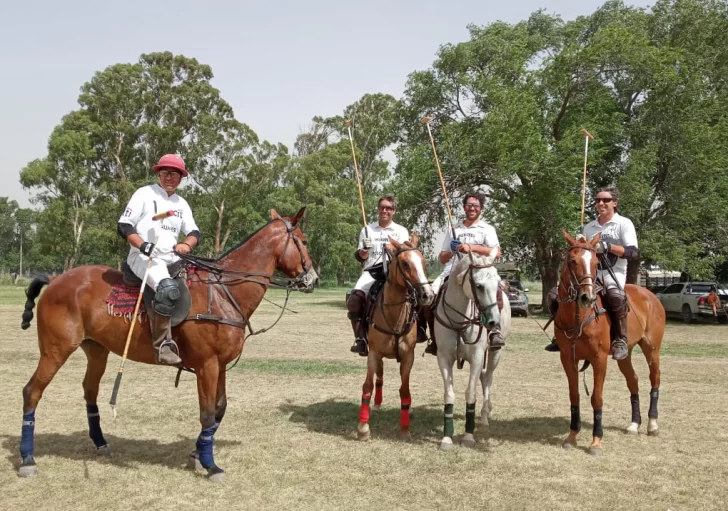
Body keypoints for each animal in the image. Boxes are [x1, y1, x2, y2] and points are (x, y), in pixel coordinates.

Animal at [17, 207, 318, 480]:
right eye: (303, 241)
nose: (313, 279)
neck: (225, 292)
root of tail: (56, 278)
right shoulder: (207, 365)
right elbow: (207, 413)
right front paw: (211, 465)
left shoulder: (220, 365)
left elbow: (220, 409)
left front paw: (198, 452)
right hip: (55, 349)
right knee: (32, 391)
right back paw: (27, 459)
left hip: (96, 349)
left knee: (89, 390)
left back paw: (100, 443)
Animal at [356, 235, 436, 440]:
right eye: (405, 263)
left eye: (423, 261)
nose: (427, 295)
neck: (394, 315)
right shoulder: (373, 353)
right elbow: (367, 386)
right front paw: (363, 428)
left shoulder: (408, 355)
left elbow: (404, 390)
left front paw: (405, 429)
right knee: (379, 375)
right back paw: (376, 405)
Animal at [432, 253, 512, 452]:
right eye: (479, 286)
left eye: (497, 283)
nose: (493, 322)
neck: (460, 320)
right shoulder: (444, 357)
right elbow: (449, 394)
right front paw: (446, 438)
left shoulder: (476, 357)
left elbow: (471, 393)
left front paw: (468, 437)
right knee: (484, 378)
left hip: (495, 353)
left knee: (488, 378)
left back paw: (484, 416)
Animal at [552, 232, 664, 456]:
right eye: (572, 260)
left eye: (596, 262)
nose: (587, 297)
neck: (577, 318)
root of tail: (651, 295)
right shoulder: (567, 358)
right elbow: (574, 396)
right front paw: (572, 436)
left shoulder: (599, 359)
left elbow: (596, 397)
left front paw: (596, 441)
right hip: (625, 353)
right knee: (633, 380)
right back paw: (634, 424)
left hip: (652, 349)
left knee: (654, 378)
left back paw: (652, 424)